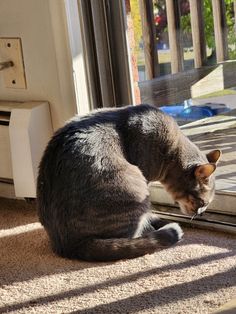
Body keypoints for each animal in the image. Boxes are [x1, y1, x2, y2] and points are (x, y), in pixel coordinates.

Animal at [36, 104, 219, 262]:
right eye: (202, 202)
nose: (201, 213)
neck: (171, 150)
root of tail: (69, 246)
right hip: (136, 188)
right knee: (132, 236)